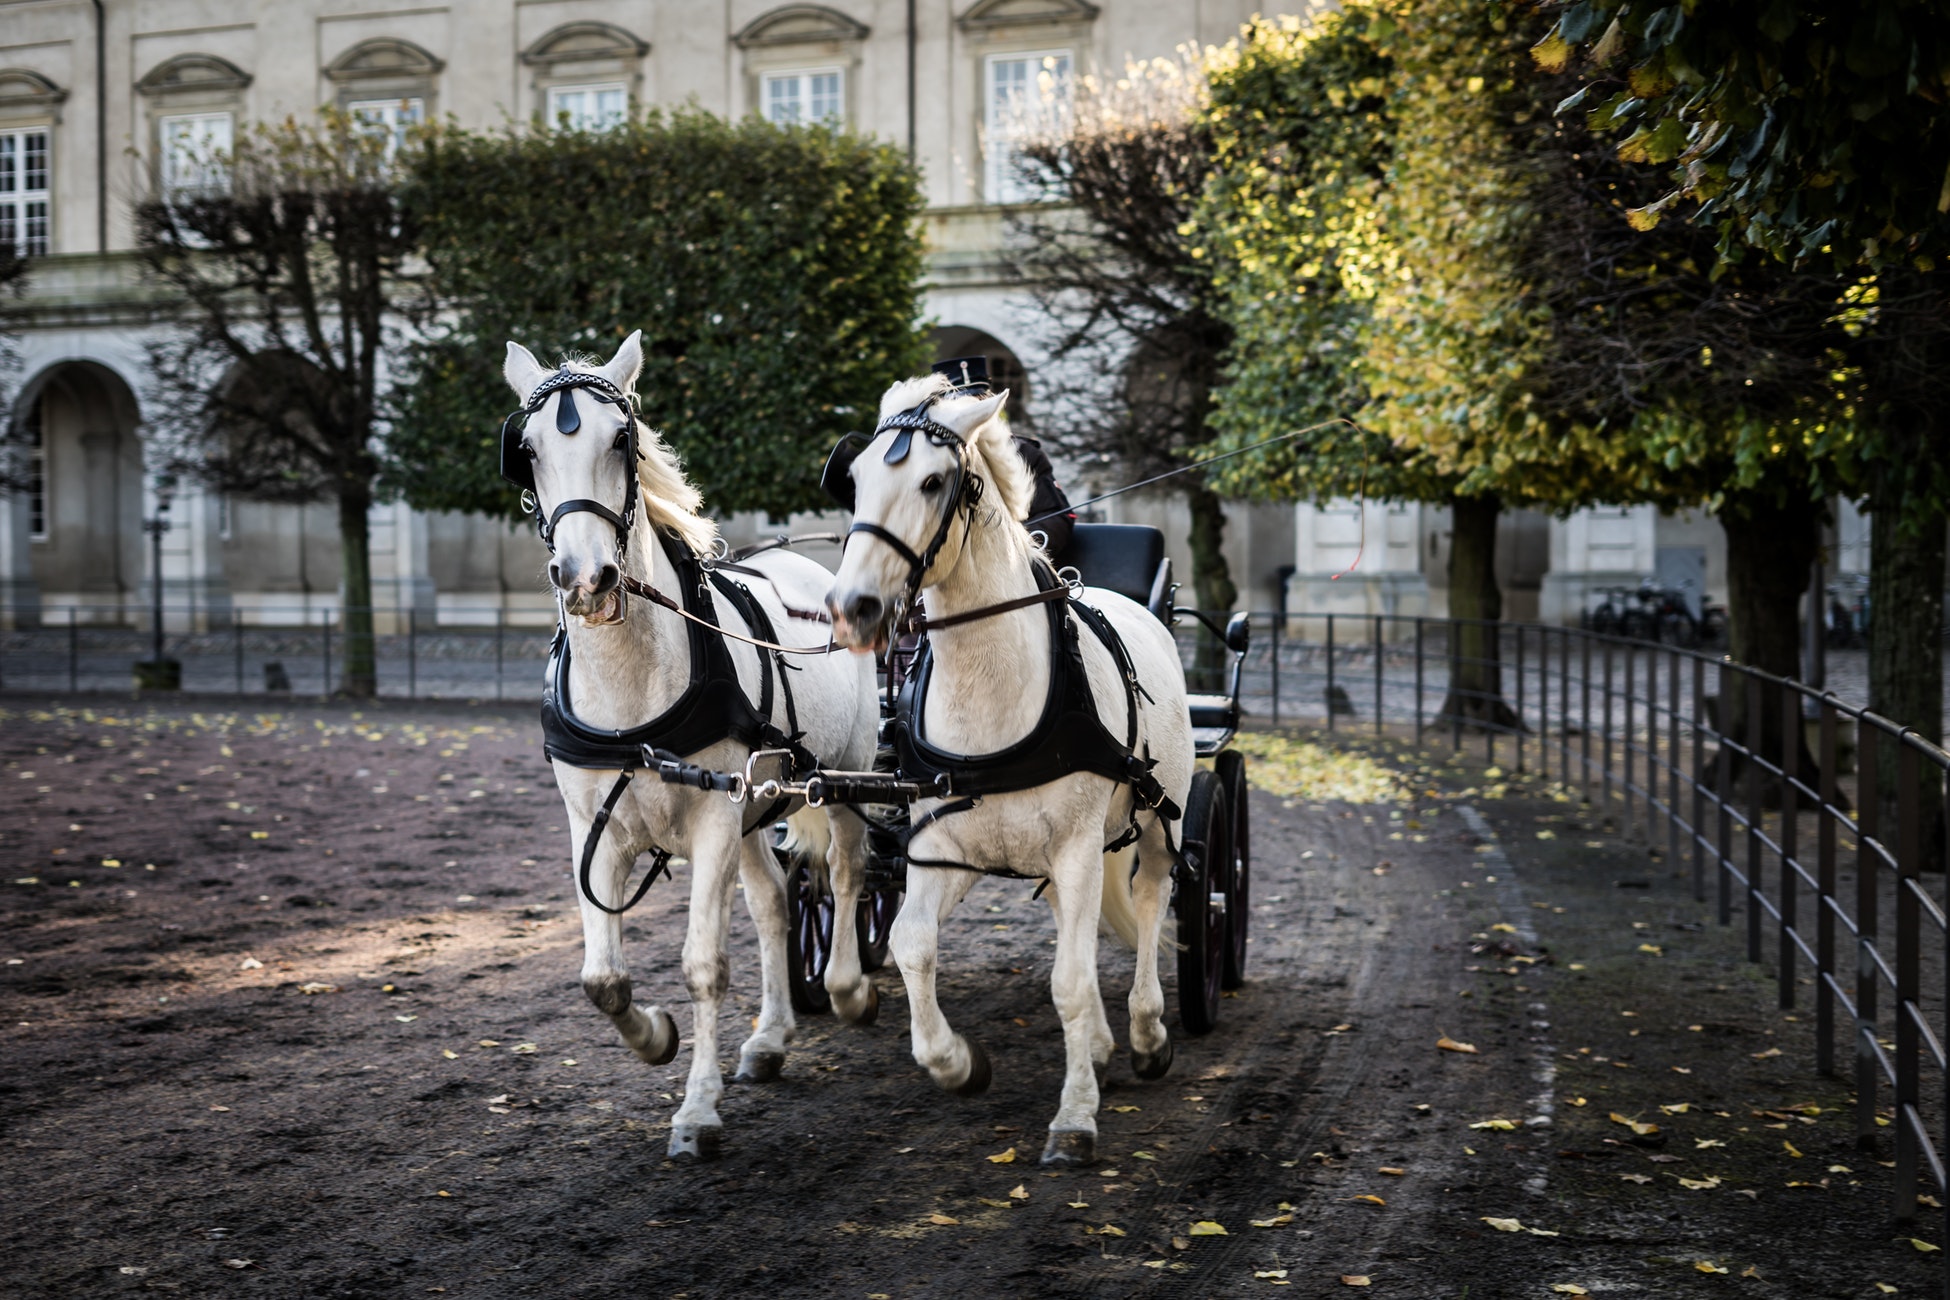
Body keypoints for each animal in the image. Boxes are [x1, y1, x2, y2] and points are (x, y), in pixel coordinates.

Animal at [518, 333, 885, 1161]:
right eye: (526, 451)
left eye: (619, 440)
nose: (585, 578)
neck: (634, 692)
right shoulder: (598, 830)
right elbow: (601, 979)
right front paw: (655, 1037)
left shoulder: (714, 824)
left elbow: (704, 966)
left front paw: (695, 1111)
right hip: (755, 807)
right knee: (777, 903)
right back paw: (772, 1038)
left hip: (844, 776)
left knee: (849, 873)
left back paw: (848, 988)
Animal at [819, 376, 1193, 1169]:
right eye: (855, 479)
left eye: (934, 482)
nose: (851, 608)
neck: (991, 690)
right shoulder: (940, 846)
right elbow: (912, 944)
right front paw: (956, 1063)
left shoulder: (1080, 846)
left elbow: (1071, 982)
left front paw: (1075, 1118)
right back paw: (1106, 1045)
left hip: (1156, 817)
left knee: (1152, 901)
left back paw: (1146, 1031)